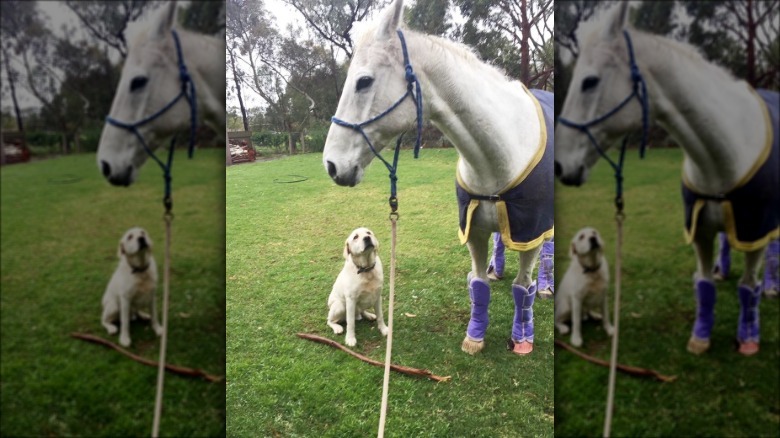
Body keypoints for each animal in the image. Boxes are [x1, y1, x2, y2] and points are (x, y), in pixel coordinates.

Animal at [322, 0, 554, 355]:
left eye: (363, 81)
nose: (332, 165)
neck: (500, 150)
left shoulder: (531, 233)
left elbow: (522, 288)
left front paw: (522, 338)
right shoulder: (474, 229)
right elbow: (479, 284)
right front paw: (475, 336)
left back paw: (545, 287)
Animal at [555, 3, 779, 356]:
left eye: (589, 82)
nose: (560, 165)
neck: (724, 153)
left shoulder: (755, 229)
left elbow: (748, 287)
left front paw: (748, 337)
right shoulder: (700, 229)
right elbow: (703, 284)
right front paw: (700, 336)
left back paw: (770, 288)